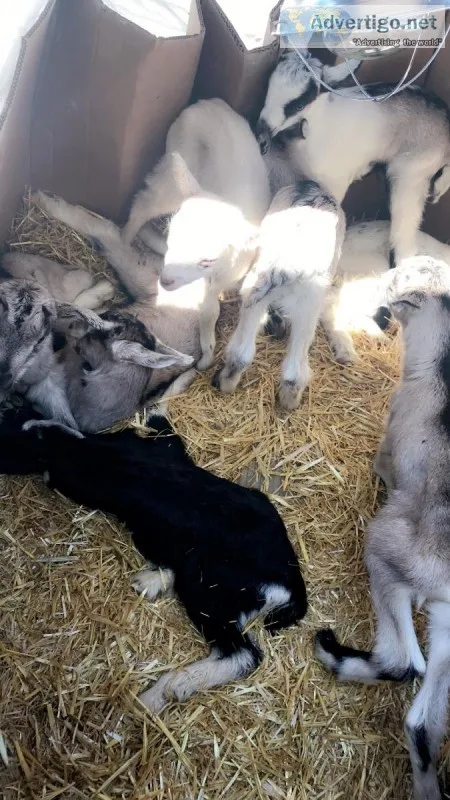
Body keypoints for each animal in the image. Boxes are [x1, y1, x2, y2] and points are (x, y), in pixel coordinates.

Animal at [123, 98, 271, 369]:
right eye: (171, 240)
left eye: (207, 260)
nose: (166, 281)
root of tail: (211, 103)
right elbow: (208, 310)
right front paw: (206, 356)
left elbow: (212, 307)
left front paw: (207, 352)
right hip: (173, 172)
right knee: (144, 205)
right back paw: (125, 239)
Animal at [256, 51, 450, 266]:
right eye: (268, 87)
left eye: (298, 104)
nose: (261, 129)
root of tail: (446, 121)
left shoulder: (333, 184)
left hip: (410, 175)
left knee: (406, 227)